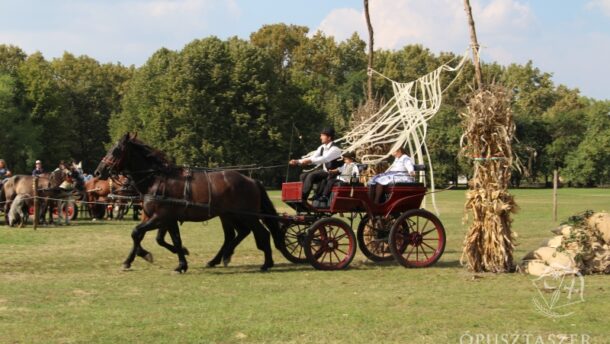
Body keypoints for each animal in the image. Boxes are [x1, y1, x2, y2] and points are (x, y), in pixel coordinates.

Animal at [93, 133, 282, 272]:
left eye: (116, 151)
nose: (98, 172)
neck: (156, 180)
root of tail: (252, 180)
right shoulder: (162, 218)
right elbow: (160, 238)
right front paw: (134, 259)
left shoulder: (161, 217)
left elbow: (137, 233)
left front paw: (178, 262)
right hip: (230, 215)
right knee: (238, 234)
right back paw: (220, 258)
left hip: (246, 216)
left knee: (262, 233)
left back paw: (266, 263)